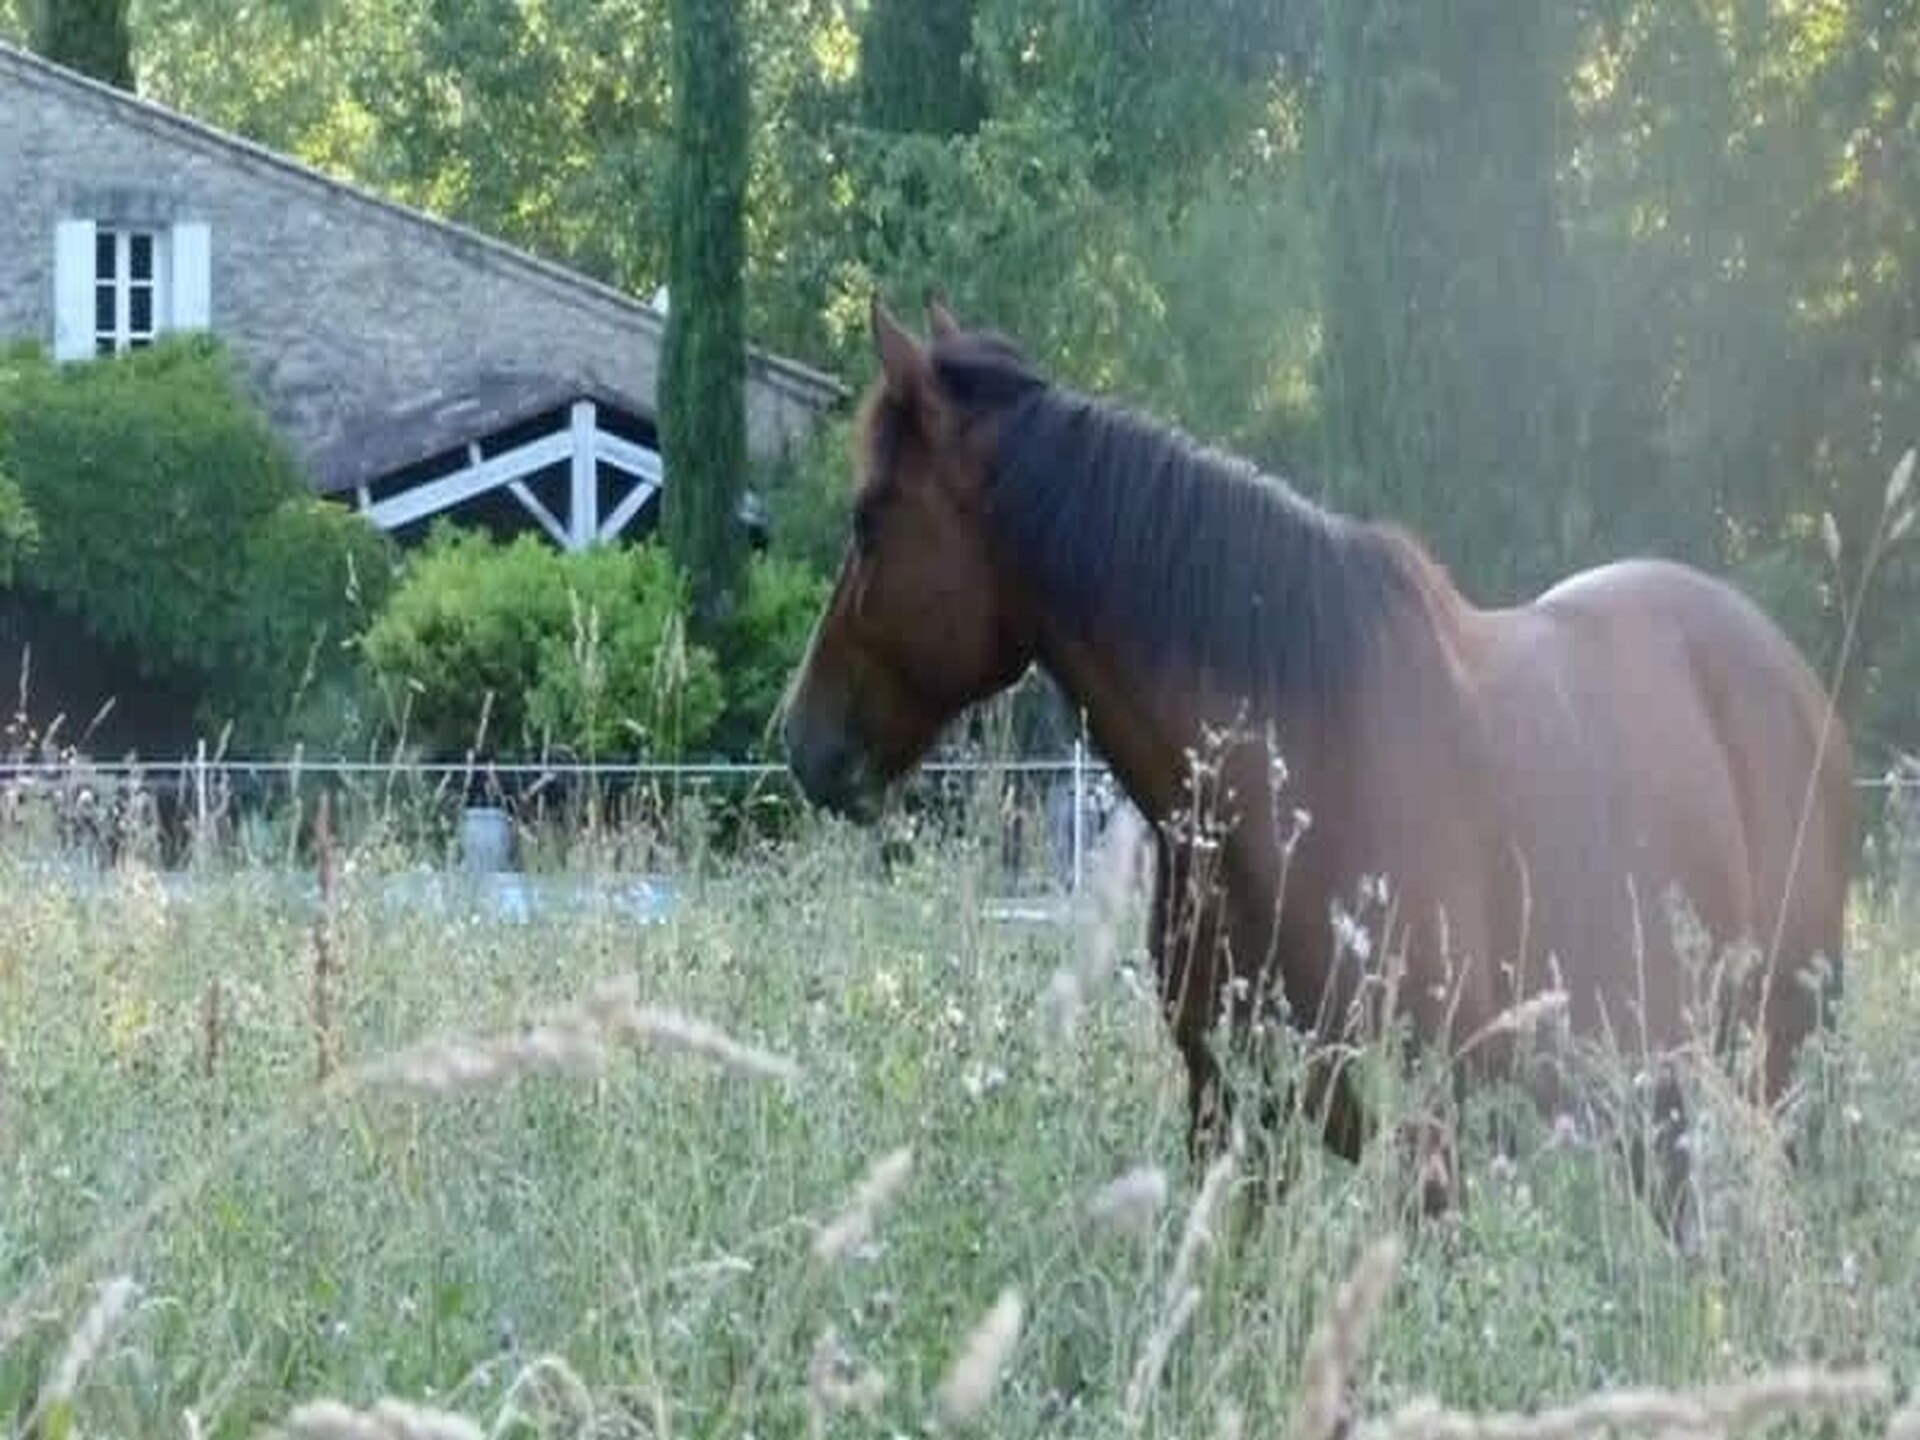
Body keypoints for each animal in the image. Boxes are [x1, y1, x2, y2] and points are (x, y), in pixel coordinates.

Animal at [781, 294, 1855, 1237]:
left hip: (1779, 1060)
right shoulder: (1234, 1121)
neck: (1287, 772)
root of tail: (1795, 679)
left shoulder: (1422, 1147)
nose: (803, 742)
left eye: (868, 517)